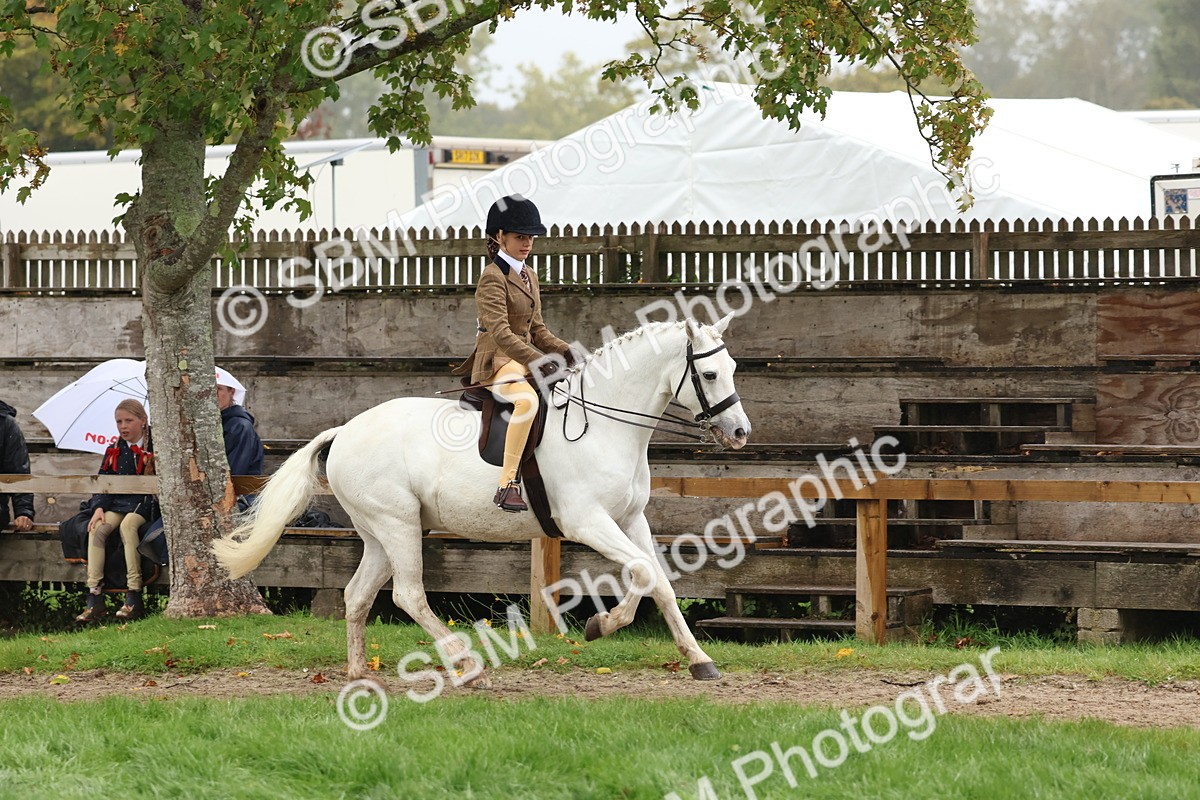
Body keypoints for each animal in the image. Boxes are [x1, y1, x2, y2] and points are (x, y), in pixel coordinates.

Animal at [213, 315, 751, 685]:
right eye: (709, 376)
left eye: (731, 368)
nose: (740, 433)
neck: (604, 425)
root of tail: (344, 430)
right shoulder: (587, 522)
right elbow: (643, 573)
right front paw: (602, 626)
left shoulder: (630, 519)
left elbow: (657, 579)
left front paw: (697, 659)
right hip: (398, 524)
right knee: (409, 595)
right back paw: (467, 665)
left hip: (381, 531)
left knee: (358, 595)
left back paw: (359, 671)